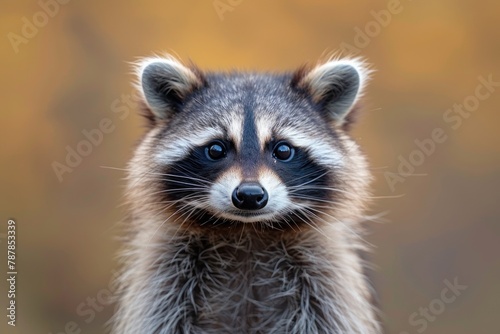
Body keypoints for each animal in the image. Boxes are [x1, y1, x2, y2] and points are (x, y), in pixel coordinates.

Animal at [111, 53, 380, 332]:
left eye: (283, 150)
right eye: (216, 149)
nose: (250, 195)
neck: (247, 230)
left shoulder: (323, 280)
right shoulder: (168, 276)